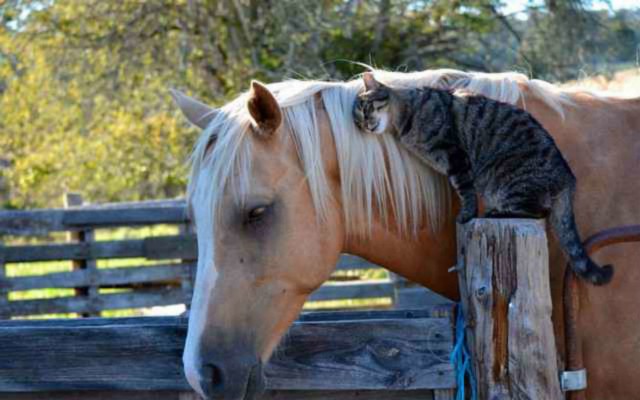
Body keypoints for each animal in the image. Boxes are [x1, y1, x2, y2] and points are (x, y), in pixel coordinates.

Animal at [352, 71, 612, 284]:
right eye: (358, 119)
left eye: (367, 107)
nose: (366, 124)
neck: (406, 115)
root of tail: (568, 178)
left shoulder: (455, 156)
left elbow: (465, 191)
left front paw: (466, 215)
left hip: (506, 178)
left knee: (536, 211)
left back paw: (496, 212)